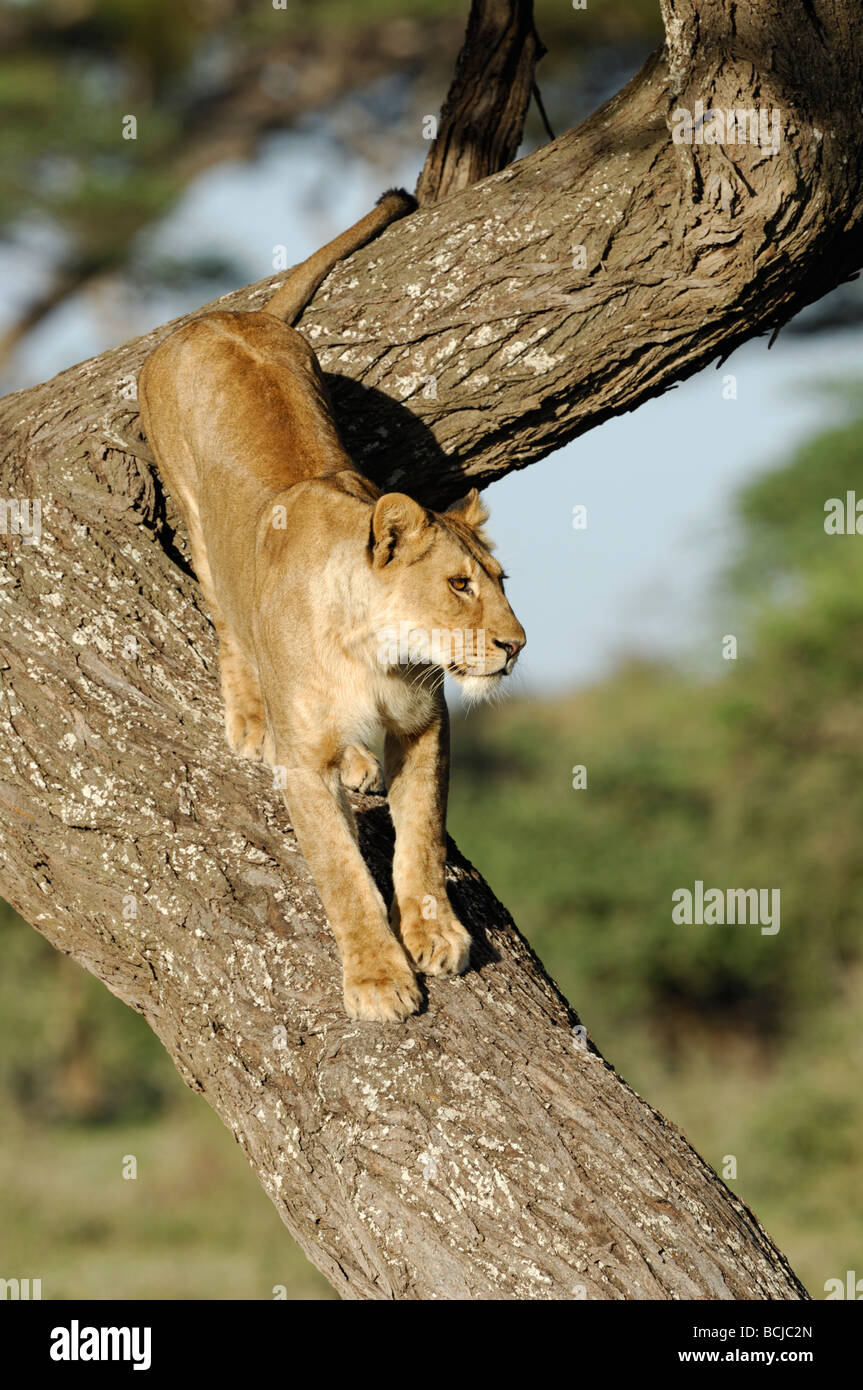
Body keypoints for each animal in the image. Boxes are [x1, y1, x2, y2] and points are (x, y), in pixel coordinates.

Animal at [138, 190, 525, 1023]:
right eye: (458, 585)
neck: (375, 652)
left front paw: (435, 933)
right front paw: (378, 978)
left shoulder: (425, 725)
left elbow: (420, 840)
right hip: (195, 519)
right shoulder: (304, 771)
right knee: (227, 626)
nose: (516, 645)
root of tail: (224, 315)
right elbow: (341, 873)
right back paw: (252, 721)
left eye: (499, 579)